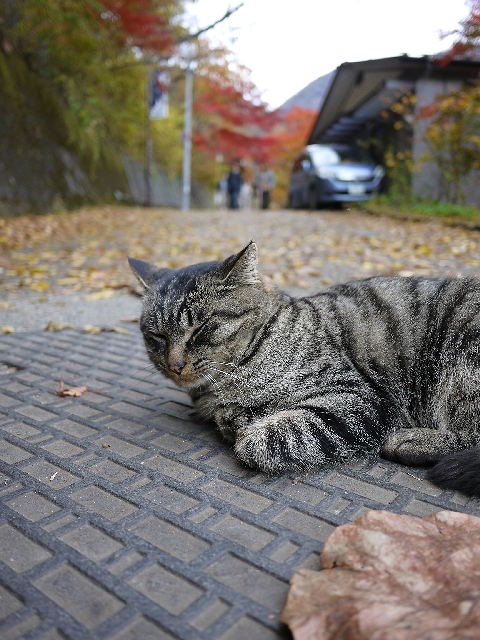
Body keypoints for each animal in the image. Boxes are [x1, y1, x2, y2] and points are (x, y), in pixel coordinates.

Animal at [127, 242, 480, 498]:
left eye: (200, 329)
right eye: (156, 337)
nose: (175, 366)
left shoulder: (360, 397)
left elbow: (270, 437)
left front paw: (249, 429)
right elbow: (233, 416)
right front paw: (239, 415)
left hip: (462, 364)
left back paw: (411, 442)